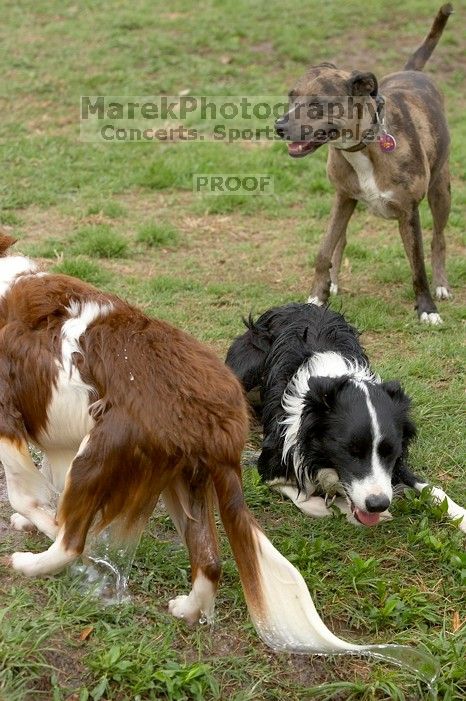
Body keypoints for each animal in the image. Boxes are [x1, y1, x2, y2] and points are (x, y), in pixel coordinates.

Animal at [0, 234, 434, 668]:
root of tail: (217, 418)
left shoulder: (10, 422)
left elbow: (26, 494)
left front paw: (40, 521)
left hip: (97, 458)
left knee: (72, 543)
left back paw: (32, 564)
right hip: (181, 480)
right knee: (210, 561)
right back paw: (189, 609)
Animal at [274, 2, 454, 324]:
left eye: (317, 104)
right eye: (291, 97)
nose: (278, 127)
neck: (364, 147)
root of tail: (411, 71)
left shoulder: (409, 212)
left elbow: (417, 265)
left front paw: (427, 309)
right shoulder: (343, 197)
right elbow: (325, 250)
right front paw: (316, 296)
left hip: (441, 191)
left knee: (439, 238)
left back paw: (442, 285)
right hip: (346, 200)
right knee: (341, 241)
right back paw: (333, 282)